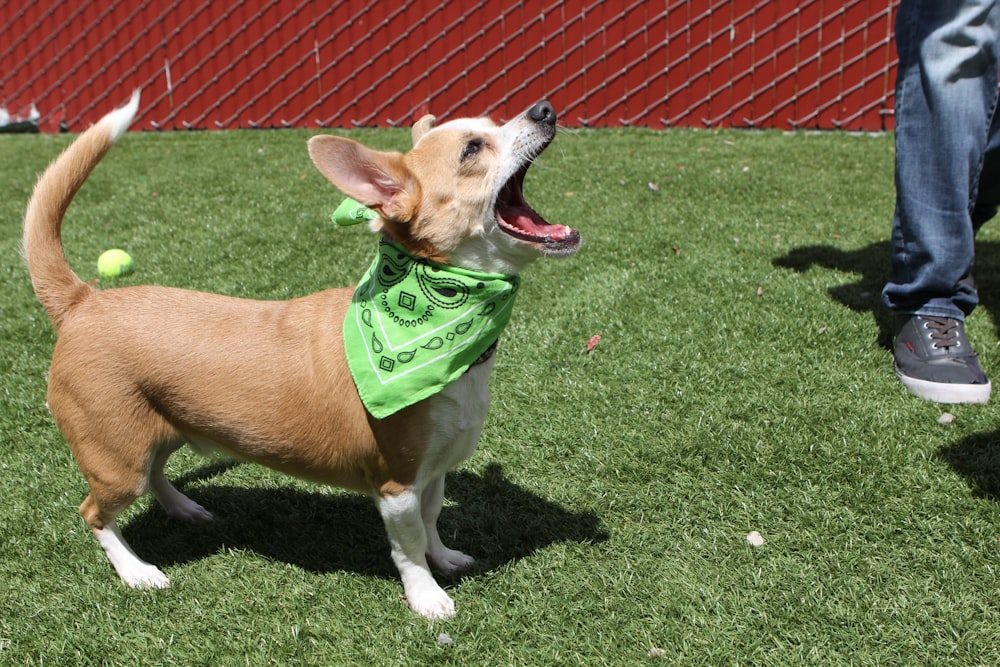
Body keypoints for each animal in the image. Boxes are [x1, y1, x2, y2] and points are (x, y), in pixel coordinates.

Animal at [23, 90, 584, 620]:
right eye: (472, 149)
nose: (544, 108)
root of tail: (83, 300)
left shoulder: (433, 472)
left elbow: (432, 520)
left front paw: (445, 558)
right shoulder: (397, 484)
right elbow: (409, 546)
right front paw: (427, 597)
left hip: (155, 433)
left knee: (156, 473)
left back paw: (184, 509)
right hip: (116, 460)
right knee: (95, 514)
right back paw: (136, 571)